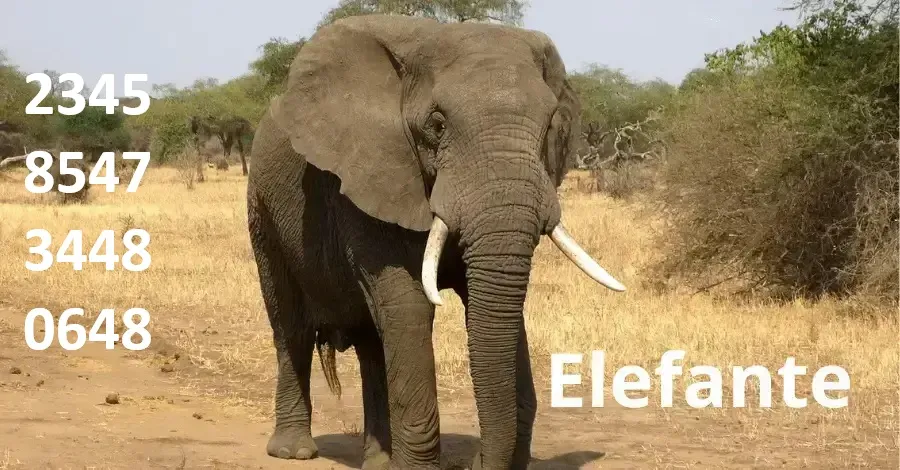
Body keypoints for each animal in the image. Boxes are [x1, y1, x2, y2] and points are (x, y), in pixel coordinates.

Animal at [246, 15, 626, 470]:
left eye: (550, 124)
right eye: (438, 124)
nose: (476, 462)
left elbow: (489, 302)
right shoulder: (368, 177)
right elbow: (409, 305)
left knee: (372, 342)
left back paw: (379, 462)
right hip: (262, 208)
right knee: (291, 326)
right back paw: (294, 451)